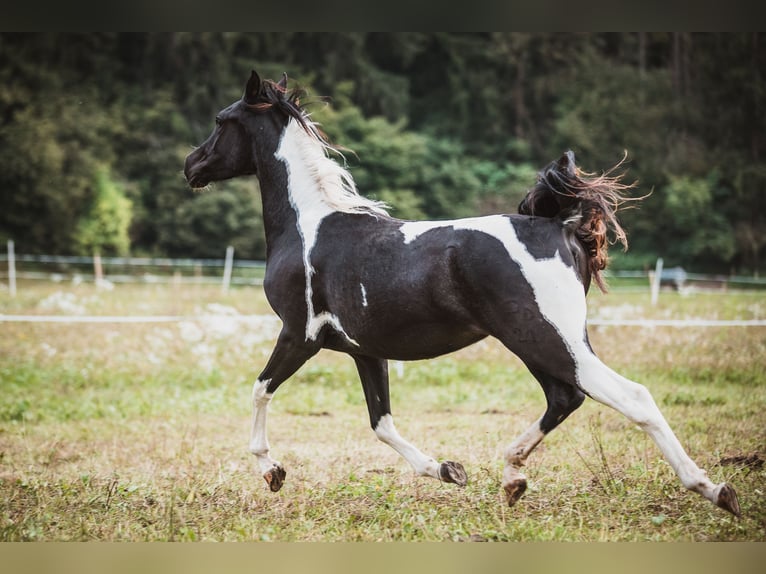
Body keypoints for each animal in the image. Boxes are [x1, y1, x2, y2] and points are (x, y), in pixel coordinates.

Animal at [184, 70, 744, 520]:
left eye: (220, 120)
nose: (190, 166)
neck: (310, 228)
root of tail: (561, 227)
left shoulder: (300, 334)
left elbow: (260, 389)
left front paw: (272, 471)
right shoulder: (366, 350)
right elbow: (382, 423)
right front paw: (449, 470)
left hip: (546, 337)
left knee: (629, 396)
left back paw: (715, 490)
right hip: (540, 340)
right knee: (565, 397)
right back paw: (512, 477)